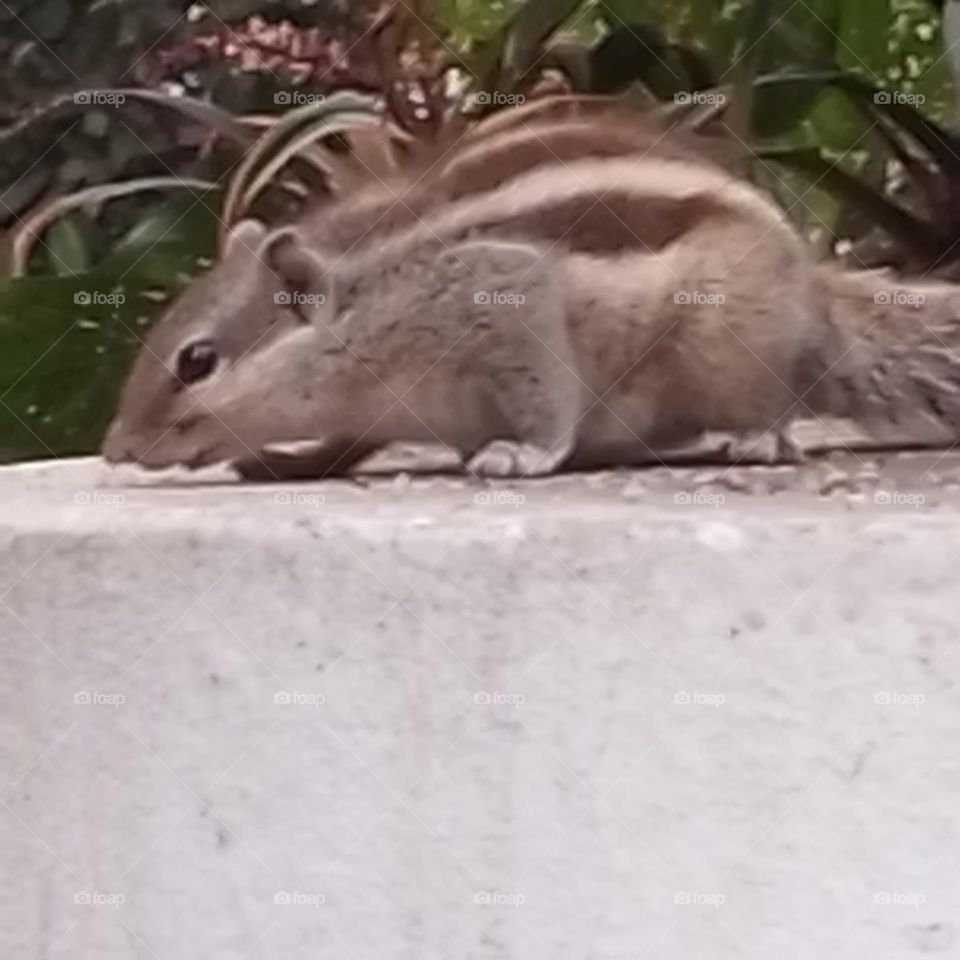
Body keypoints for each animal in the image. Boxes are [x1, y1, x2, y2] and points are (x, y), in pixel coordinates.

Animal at [101, 102, 960, 479]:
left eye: (198, 361)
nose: (116, 450)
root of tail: (814, 298)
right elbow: (346, 443)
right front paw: (291, 462)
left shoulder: (505, 296)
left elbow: (544, 394)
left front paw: (526, 453)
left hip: (726, 340)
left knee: (775, 401)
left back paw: (758, 438)